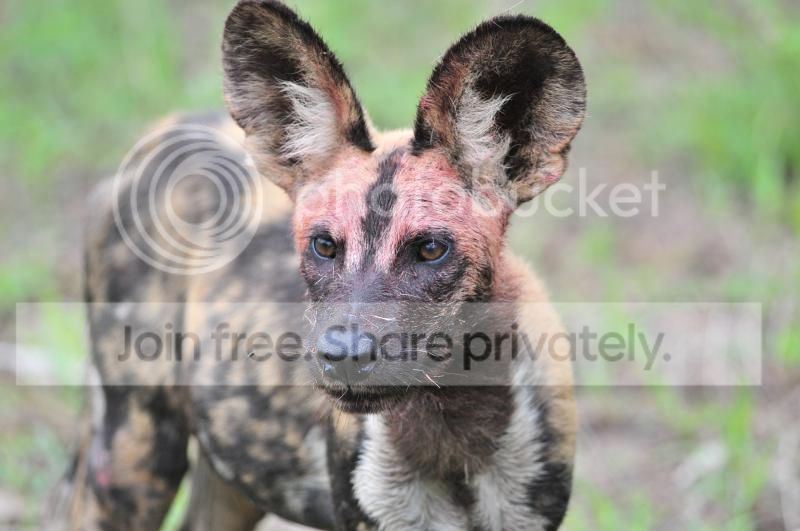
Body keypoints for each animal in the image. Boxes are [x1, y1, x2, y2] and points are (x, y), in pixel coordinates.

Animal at [54, 1, 586, 529]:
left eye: (431, 249)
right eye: (324, 245)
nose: (344, 355)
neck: (451, 433)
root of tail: (162, 131)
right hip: (134, 459)